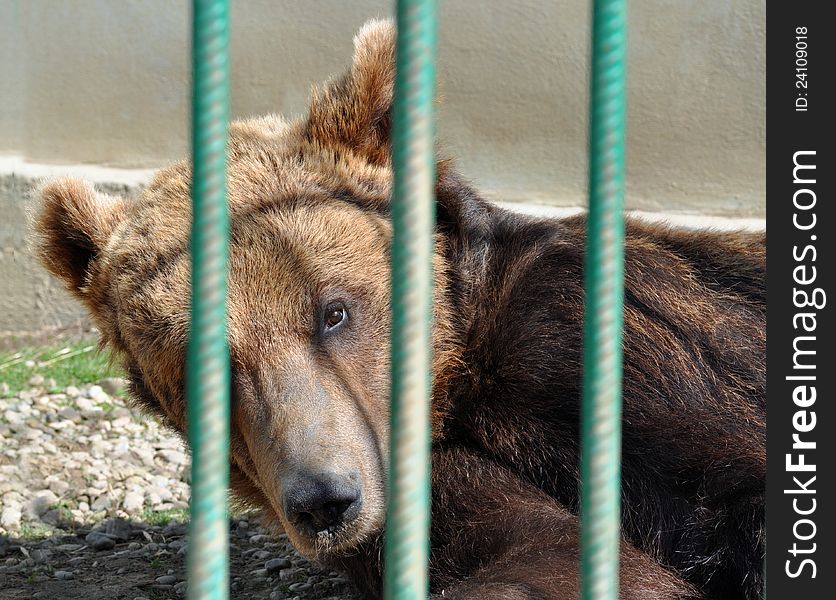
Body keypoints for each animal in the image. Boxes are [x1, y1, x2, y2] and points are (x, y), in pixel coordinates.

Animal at [32, 18, 764, 600]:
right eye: (195, 364)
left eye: (333, 312)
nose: (325, 499)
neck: (463, 375)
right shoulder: (416, 480)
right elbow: (543, 550)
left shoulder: (607, 343)